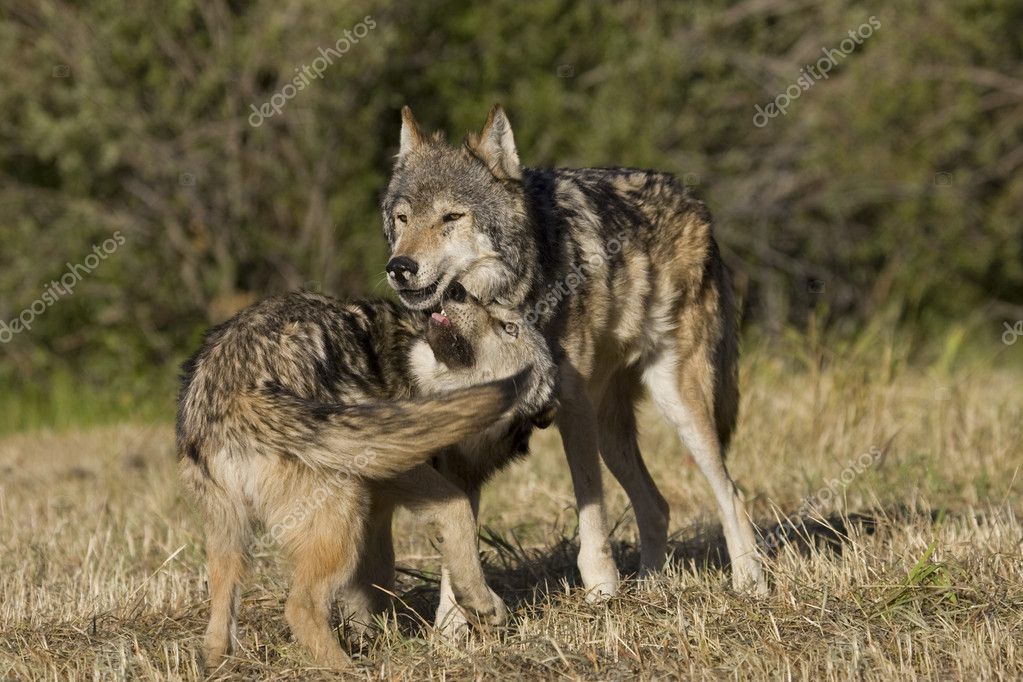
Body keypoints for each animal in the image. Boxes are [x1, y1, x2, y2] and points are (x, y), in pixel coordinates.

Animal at [180, 286, 556, 666]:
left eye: (509, 328)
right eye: (498, 317)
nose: (455, 290)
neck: (414, 372)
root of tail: (238, 387)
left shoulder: (379, 516)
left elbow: (383, 581)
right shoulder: (404, 472)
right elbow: (459, 517)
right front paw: (482, 604)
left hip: (234, 536)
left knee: (221, 617)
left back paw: (219, 663)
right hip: (343, 517)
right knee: (300, 606)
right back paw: (349, 668)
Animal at [384, 104, 769, 601]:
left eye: (451, 216)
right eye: (403, 218)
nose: (399, 267)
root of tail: (695, 201)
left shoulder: (572, 405)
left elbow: (590, 508)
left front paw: (602, 589)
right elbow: (458, 523)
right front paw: (453, 619)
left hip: (677, 404)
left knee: (731, 495)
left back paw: (749, 583)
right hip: (611, 430)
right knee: (657, 505)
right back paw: (651, 587)